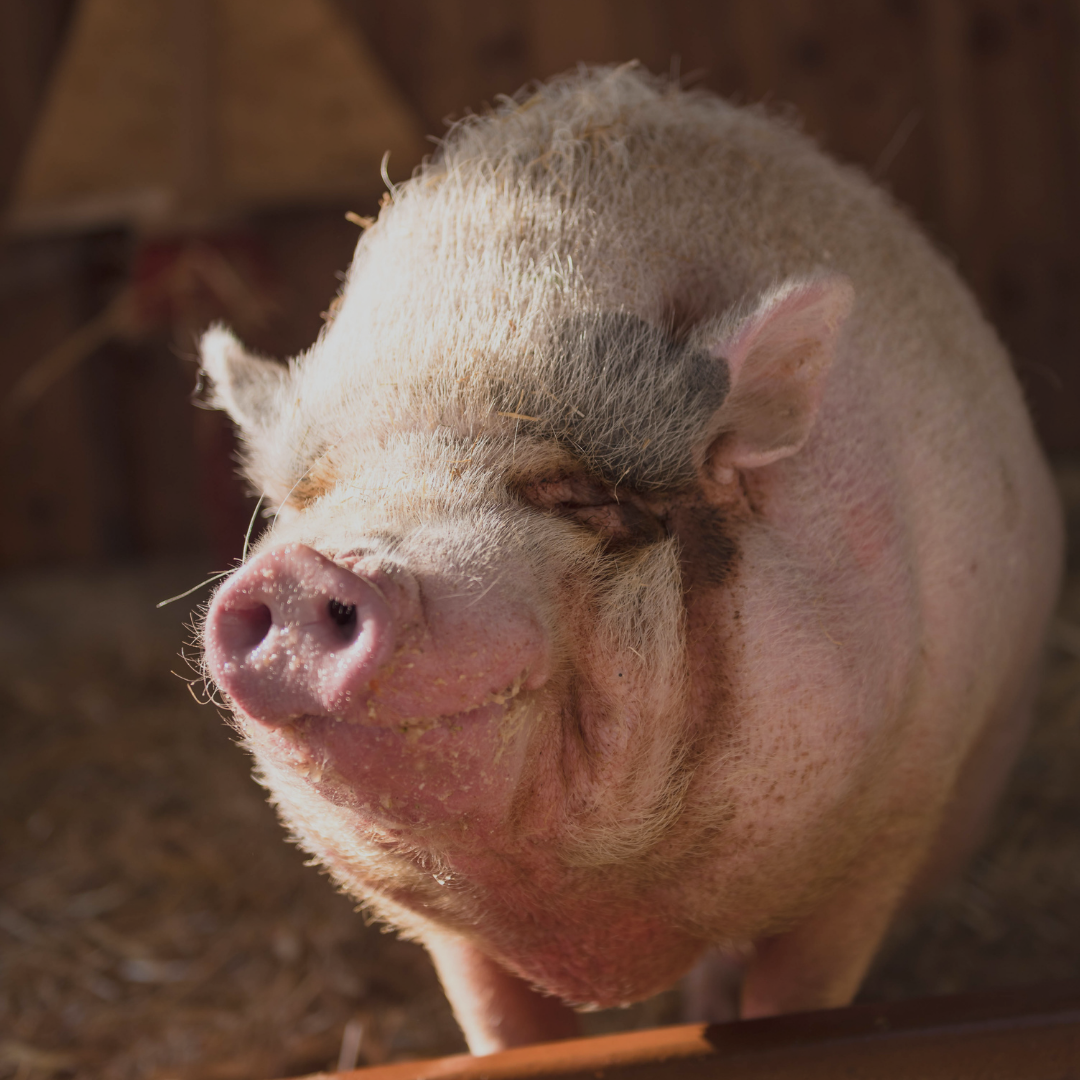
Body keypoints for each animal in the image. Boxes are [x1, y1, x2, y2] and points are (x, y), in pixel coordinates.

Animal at [198, 66, 1063, 1054]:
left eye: (576, 496)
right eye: (312, 500)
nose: (310, 569)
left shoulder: (880, 836)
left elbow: (799, 994)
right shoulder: (452, 941)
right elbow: (504, 1027)